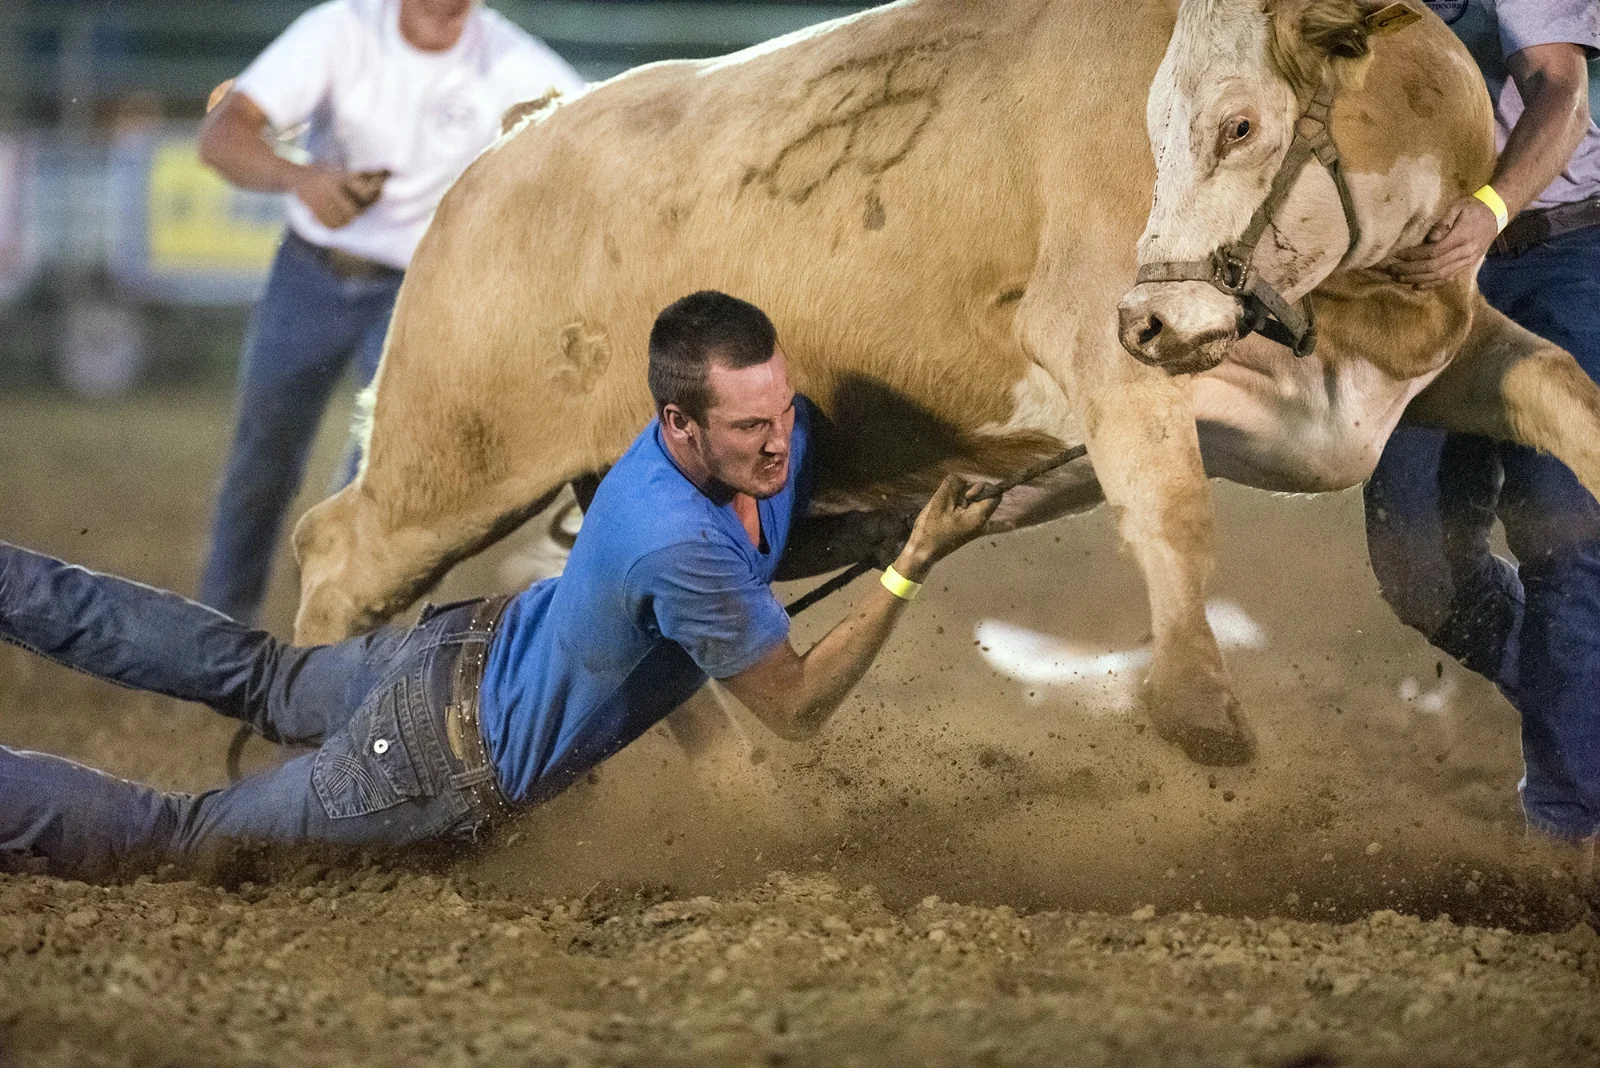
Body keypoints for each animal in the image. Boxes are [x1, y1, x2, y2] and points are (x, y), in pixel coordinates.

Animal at [290, 0, 1600, 769]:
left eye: (1237, 126)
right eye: (1172, 131)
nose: (1149, 314)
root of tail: (524, 131)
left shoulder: (1415, 353)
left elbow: (1559, 389)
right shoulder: (1100, 346)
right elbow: (1170, 505)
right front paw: (1199, 707)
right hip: (450, 455)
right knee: (337, 551)